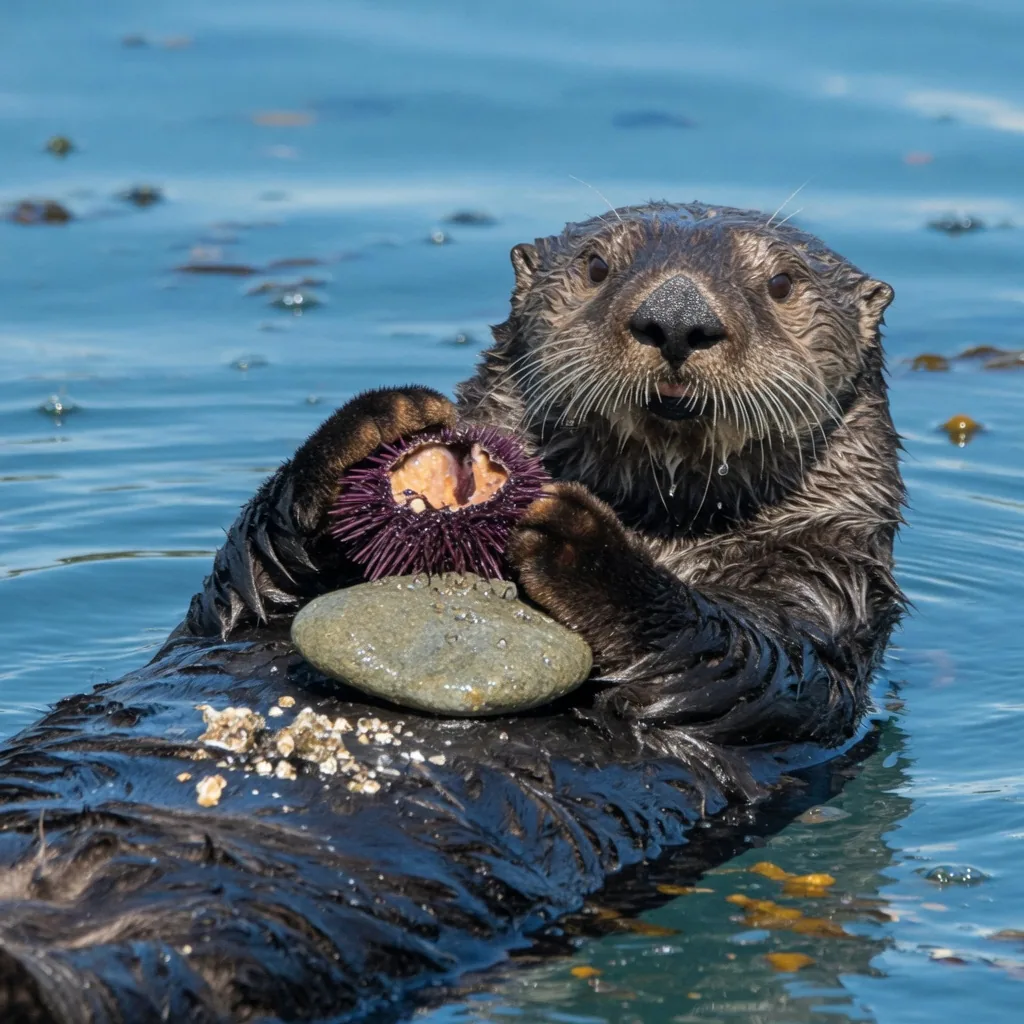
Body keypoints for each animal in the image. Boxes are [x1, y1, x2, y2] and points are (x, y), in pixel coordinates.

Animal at [0, 203, 902, 1023]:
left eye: (780, 284)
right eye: (598, 266)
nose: (677, 317)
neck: (665, 523)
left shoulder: (823, 606)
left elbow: (746, 659)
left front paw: (573, 535)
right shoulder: (226, 613)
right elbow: (243, 582)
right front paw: (383, 418)